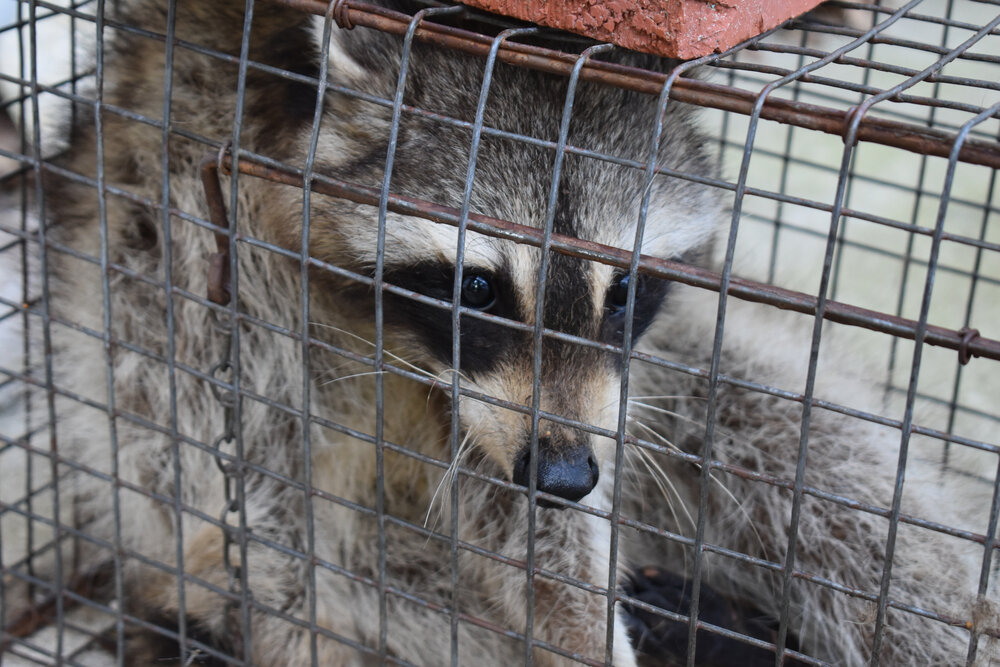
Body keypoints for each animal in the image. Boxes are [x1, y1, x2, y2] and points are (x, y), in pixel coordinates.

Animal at [11, 0, 994, 664]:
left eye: (625, 289)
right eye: (477, 288)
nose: (566, 474)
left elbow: (515, 502)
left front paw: (577, 600)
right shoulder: (200, 236)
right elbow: (246, 472)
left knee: (819, 465)